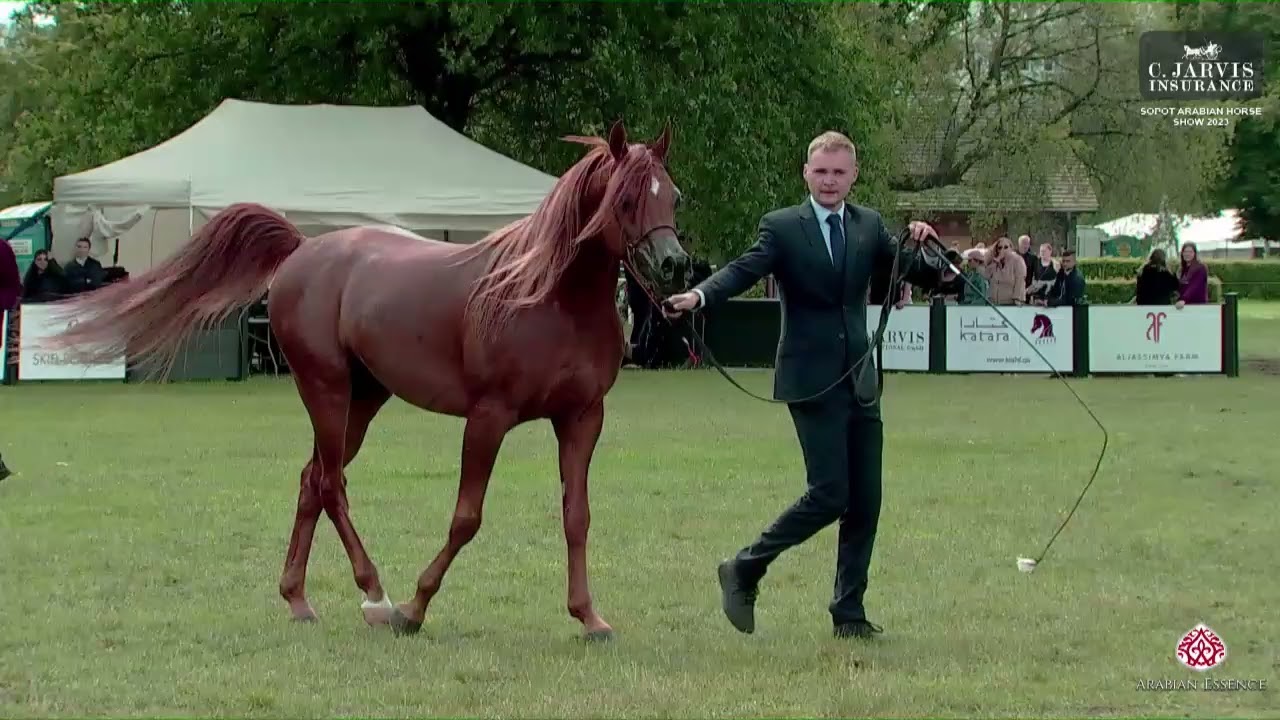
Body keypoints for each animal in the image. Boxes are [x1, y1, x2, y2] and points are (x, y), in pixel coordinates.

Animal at [46, 120, 693, 641]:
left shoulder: (582, 418)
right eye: (625, 197)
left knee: (312, 480)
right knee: (331, 485)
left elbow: (576, 516)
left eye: (674, 196)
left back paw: (299, 600)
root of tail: (302, 250)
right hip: (327, 391)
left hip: (363, 398)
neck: (547, 295)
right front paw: (414, 608)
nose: (674, 267)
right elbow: (466, 518)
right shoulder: (489, 417)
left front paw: (590, 617)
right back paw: (376, 596)